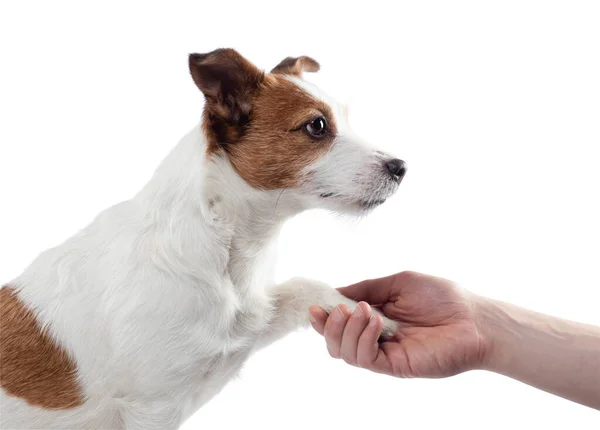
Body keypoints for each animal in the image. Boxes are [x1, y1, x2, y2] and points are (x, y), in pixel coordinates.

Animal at [0, 48, 408, 428]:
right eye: (317, 125)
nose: (401, 167)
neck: (222, 244)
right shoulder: (152, 408)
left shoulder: (248, 324)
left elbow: (303, 286)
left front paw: (366, 315)